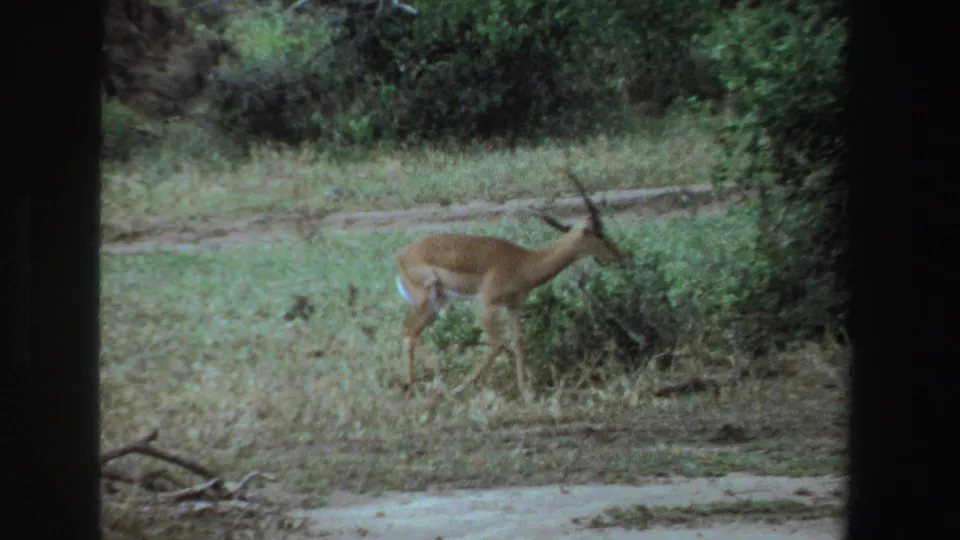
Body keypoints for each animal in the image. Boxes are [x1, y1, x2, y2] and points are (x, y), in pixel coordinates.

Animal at [394, 168, 627, 399]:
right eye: (598, 233)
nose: (619, 255)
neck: (525, 262)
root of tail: (401, 256)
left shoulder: (514, 305)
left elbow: (518, 343)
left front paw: (525, 392)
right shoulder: (486, 304)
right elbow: (497, 345)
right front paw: (463, 386)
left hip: (437, 304)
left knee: (408, 332)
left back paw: (411, 391)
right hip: (427, 300)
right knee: (408, 329)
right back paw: (441, 382)